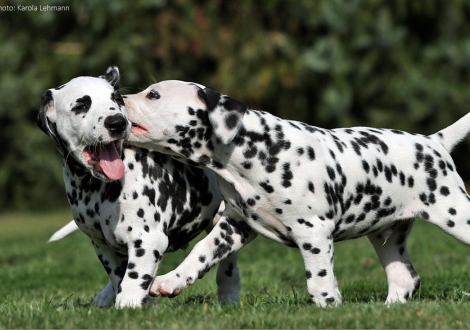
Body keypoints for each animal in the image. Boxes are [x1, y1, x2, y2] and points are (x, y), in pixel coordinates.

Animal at [38, 69, 241, 310]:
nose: (117, 122)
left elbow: (133, 280)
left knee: (227, 265)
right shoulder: (103, 247)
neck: (95, 189)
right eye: (81, 105)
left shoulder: (148, 240)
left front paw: (130, 305)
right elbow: (120, 278)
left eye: (116, 99)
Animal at [123, 80, 470, 306]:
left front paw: (329, 306)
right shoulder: (235, 226)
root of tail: (432, 142)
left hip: (456, 215)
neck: (255, 151)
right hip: (386, 236)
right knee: (404, 279)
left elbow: (318, 277)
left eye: (153, 94)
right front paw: (170, 281)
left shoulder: (313, 231)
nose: (120, 99)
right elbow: (201, 253)